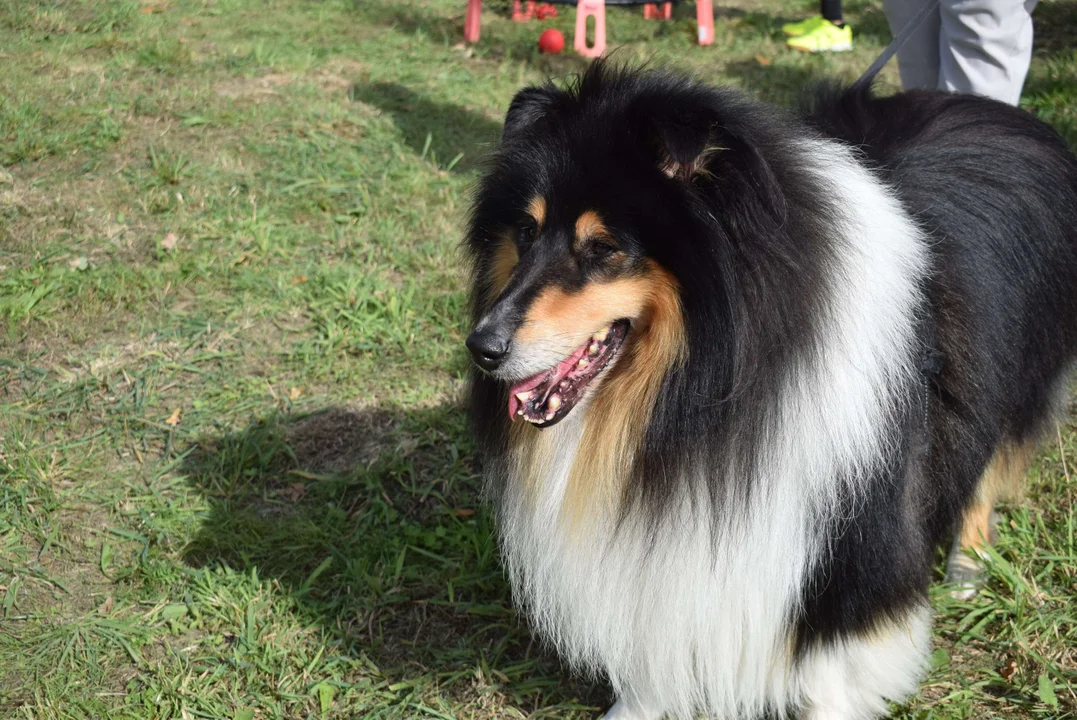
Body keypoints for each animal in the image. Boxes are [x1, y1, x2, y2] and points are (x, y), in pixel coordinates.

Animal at [460, 63, 1077, 718]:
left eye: (602, 248)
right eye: (527, 230)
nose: (483, 347)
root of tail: (1005, 112)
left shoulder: (849, 537)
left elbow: (831, 671)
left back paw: (968, 562)